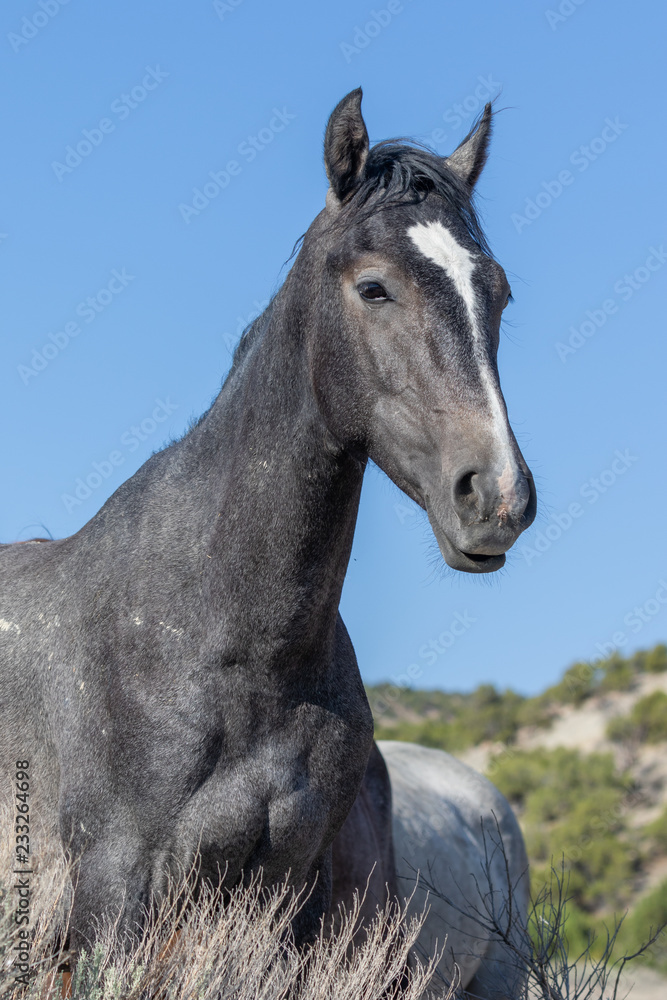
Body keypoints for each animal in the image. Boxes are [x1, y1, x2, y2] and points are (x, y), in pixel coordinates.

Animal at [0, 88, 536, 954]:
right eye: (374, 287)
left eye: (498, 291)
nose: (497, 497)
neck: (231, 640)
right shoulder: (113, 889)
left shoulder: (279, 888)